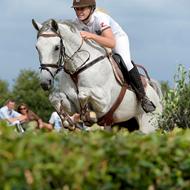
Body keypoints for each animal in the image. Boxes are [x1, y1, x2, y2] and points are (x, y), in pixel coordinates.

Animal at [31, 18, 163, 133]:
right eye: (37, 48)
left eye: (56, 47)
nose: (45, 82)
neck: (78, 68)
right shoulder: (72, 104)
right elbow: (54, 98)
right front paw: (68, 122)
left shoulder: (104, 102)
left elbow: (83, 94)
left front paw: (89, 116)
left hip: (148, 126)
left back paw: (147, 103)